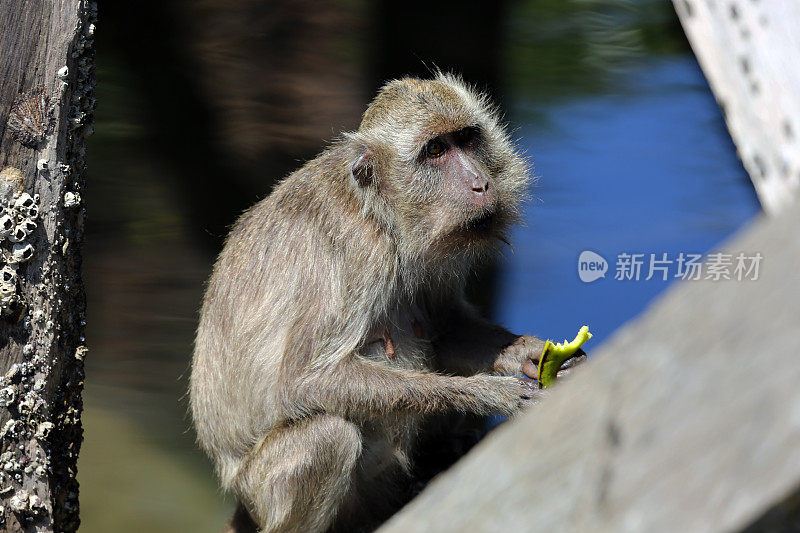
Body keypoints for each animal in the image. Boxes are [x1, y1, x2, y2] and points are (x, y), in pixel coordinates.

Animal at [190, 75, 584, 532]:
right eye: (436, 150)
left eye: (468, 139)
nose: (481, 185)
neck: (382, 213)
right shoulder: (360, 251)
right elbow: (304, 381)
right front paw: (489, 394)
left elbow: (446, 330)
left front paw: (533, 354)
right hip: (263, 490)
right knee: (329, 435)